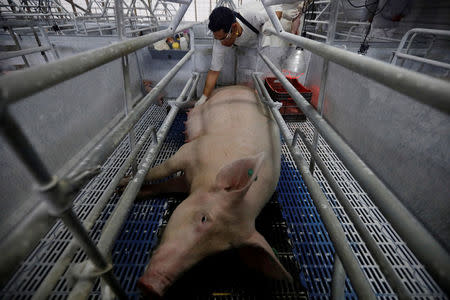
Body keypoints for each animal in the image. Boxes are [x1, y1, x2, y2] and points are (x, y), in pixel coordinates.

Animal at [136, 85, 292, 298]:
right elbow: (161, 170)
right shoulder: (188, 152)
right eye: (203, 218)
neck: (206, 176)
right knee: (195, 108)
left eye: (221, 250)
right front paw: (125, 185)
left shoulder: (187, 183)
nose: (152, 287)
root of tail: (241, 86)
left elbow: (166, 185)